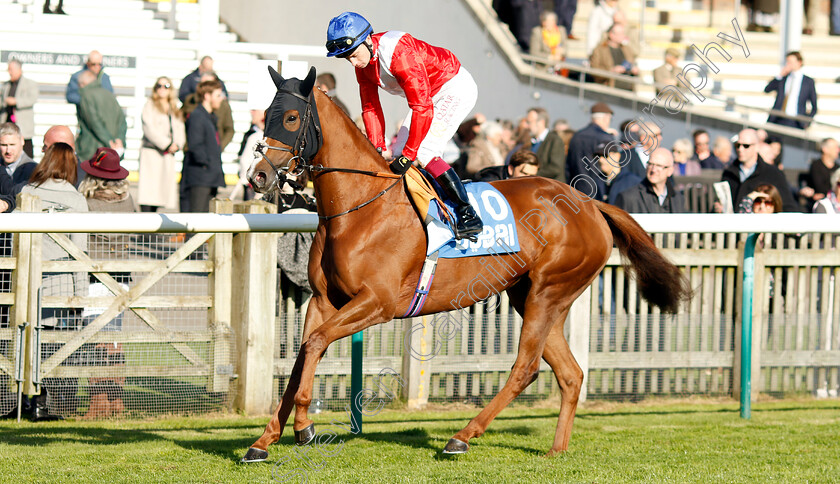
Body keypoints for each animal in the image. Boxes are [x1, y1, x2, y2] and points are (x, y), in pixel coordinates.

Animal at [243, 65, 688, 462]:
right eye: (266, 115)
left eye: (291, 117)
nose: (257, 176)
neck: (362, 206)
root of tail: (591, 203)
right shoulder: (324, 300)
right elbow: (302, 354)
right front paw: (263, 441)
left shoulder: (377, 303)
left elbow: (316, 344)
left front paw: (304, 426)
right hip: (533, 296)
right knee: (570, 373)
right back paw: (556, 450)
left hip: (549, 291)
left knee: (526, 368)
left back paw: (461, 437)